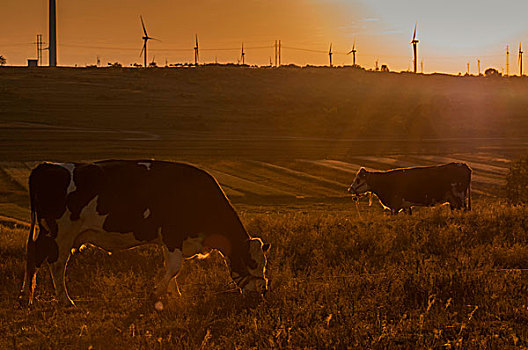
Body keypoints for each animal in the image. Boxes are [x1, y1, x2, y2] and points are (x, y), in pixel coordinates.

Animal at [19, 161, 270, 306]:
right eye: (252, 262)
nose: (263, 291)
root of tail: (46, 166)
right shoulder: (172, 235)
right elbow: (175, 267)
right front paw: (157, 293)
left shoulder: (171, 241)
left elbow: (171, 268)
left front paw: (173, 294)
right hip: (60, 234)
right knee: (56, 264)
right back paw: (64, 300)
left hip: (48, 233)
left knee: (33, 258)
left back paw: (26, 297)